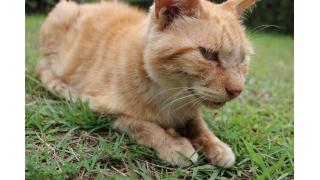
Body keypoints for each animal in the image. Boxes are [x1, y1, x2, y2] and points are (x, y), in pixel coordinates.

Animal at [35, 0, 255, 167]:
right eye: (208, 54)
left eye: (242, 59)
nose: (237, 90)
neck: (171, 95)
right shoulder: (99, 108)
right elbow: (144, 125)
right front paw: (174, 144)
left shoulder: (190, 109)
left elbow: (198, 125)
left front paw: (216, 146)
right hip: (62, 13)